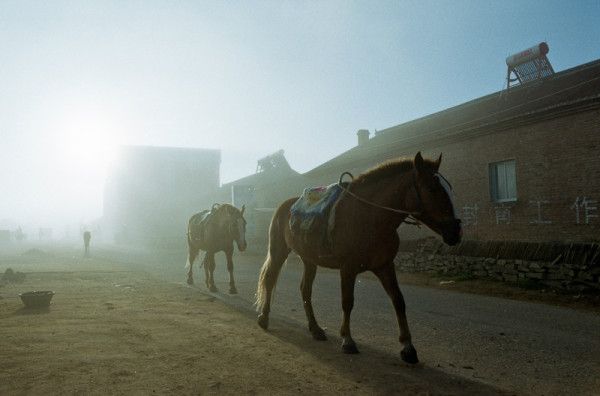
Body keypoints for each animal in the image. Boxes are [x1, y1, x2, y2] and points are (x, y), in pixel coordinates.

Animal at [253, 152, 460, 366]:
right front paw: (348, 340)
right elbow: (348, 302)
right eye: (431, 188)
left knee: (305, 290)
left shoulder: (385, 267)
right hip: (279, 251)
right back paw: (264, 318)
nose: (455, 231)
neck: (369, 218)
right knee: (270, 279)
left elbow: (398, 301)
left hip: (309, 259)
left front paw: (408, 347)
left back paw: (316, 329)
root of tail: (284, 205)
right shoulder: (348, 269)